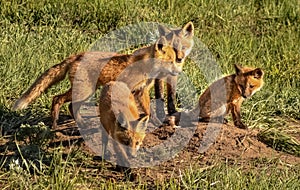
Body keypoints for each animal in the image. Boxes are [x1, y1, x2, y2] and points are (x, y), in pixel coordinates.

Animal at [11, 22, 193, 129]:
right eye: (170, 61)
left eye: (176, 60)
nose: (178, 71)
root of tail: (76, 56)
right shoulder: (129, 89)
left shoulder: (141, 92)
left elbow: (149, 112)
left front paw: (155, 122)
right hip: (84, 91)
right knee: (57, 99)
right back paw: (55, 124)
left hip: (86, 92)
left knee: (70, 106)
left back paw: (81, 123)